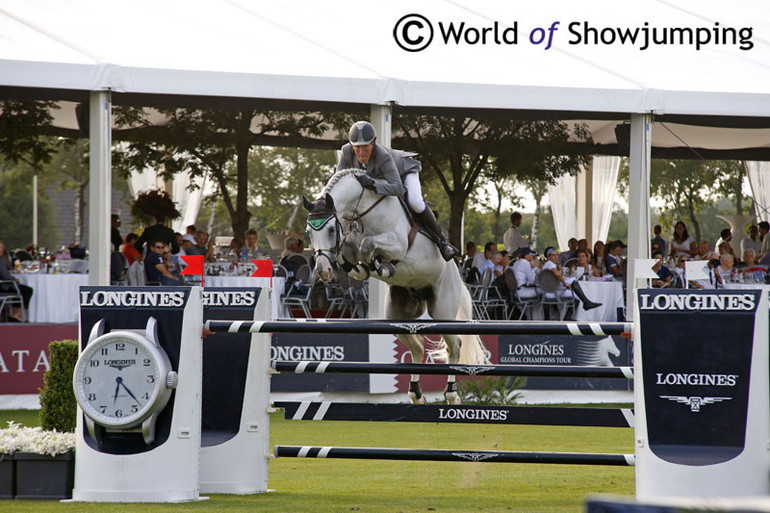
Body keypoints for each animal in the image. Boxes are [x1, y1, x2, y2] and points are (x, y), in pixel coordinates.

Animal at [302, 169, 486, 404]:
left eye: (332, 229)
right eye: (309, 232)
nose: (323, 270)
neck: (361, 209)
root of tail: (457, 274)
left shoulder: (397, 243)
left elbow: (367, 245)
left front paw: (380, 265)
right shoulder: (349, 245)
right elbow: (352, 256)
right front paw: (367, 267)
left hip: (442, 311)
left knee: (454, 346)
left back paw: (452, 395)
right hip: (397, 315)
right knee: (417, 347)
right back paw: (416, 393)